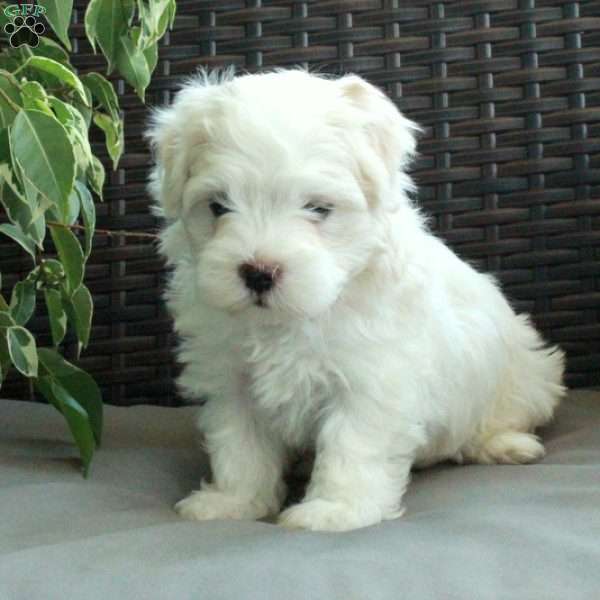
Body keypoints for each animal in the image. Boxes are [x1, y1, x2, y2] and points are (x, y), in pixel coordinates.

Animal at [146, 68, 568, 532]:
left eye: (318, 208)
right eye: (218, 206)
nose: (258, 272)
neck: (294, 317)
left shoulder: (372, 378)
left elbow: (352, 443)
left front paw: (335, 509)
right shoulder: (232, 378)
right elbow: (240, 443)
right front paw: (232, 501)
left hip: (526, 373)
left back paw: (505, 444)